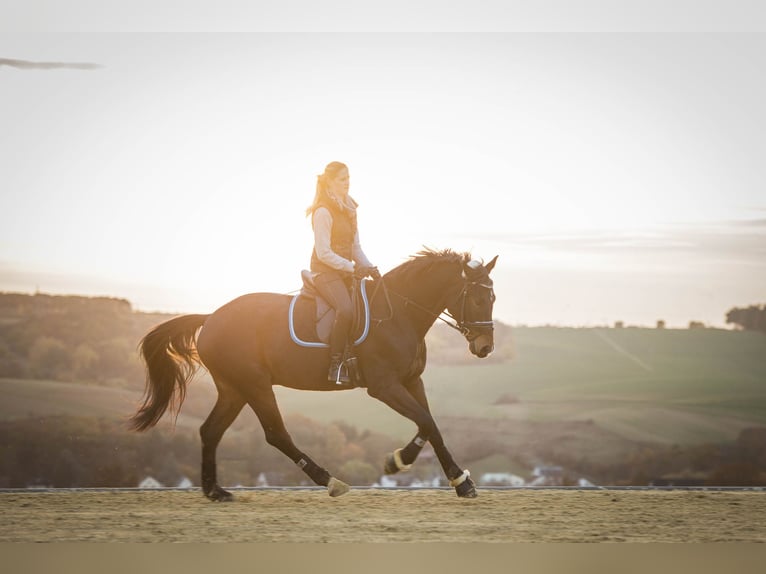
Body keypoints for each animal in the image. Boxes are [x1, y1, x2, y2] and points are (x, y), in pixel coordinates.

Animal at [131, 250, 498, 502]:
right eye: (479, 298)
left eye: (493, 297)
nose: (485, 348)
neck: (399, 314)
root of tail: (210, 318)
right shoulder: (385, 386)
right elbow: (426, 420)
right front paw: (408, 464)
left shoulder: (410, 381)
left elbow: (430, 424)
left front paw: (451, 478)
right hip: (255, 385)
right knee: (275, 434)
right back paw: (329, 480)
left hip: (233, 389)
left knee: (210, 431)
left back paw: (215, 491)